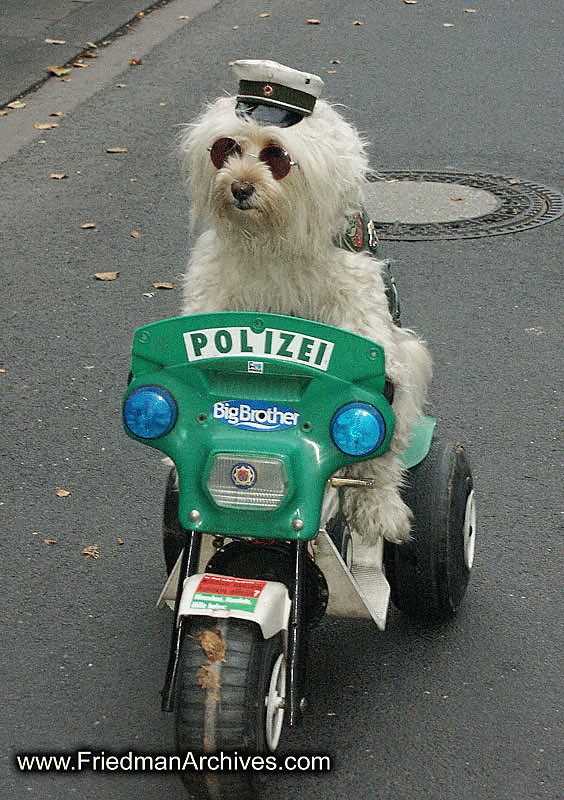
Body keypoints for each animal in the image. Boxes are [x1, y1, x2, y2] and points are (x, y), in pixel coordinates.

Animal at [180, 62, 432, 564]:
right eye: (225, 149)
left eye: (276, 154)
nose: (239, 187)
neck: (274, 242)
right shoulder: (216, 289)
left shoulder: (361, 314)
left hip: (407, 365)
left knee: (383, 461)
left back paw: (380, 512)